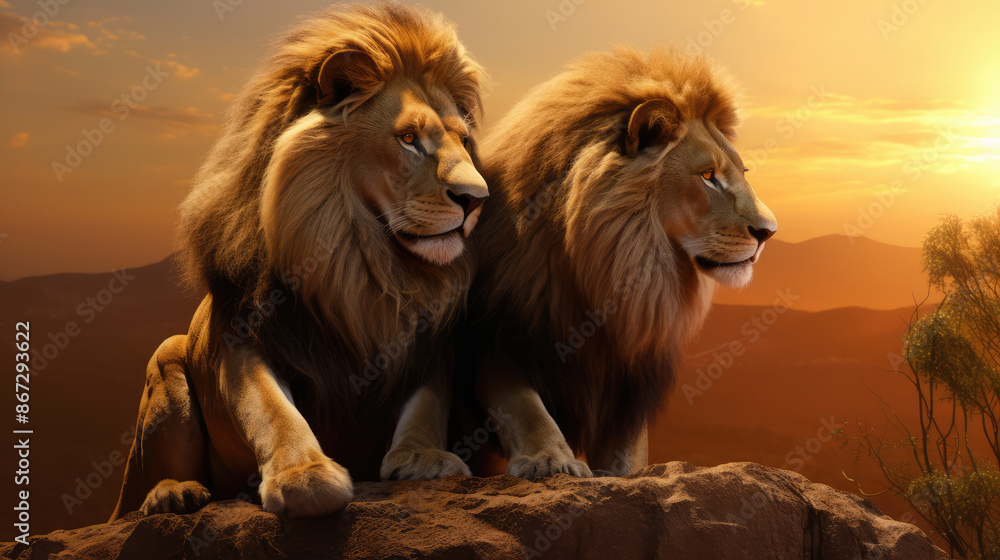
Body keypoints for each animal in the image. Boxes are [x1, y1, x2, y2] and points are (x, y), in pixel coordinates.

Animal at [110, 2, 489, 520]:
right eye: (410, 138)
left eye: (464, 142)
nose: (477, 199)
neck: (359, 264)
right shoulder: (241, 337)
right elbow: (271, 410)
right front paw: (304, 476)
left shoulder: (429, 342)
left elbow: (428, 405)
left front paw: (424, 458)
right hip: (167, 359)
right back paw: (174, 493)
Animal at [466, 46, 776, 478]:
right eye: (708, 175)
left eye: (742, 172)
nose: (769, 232)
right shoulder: (499, 335)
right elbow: (522, 406)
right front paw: (550, 460)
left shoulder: (630, 386)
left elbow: (627, 459)